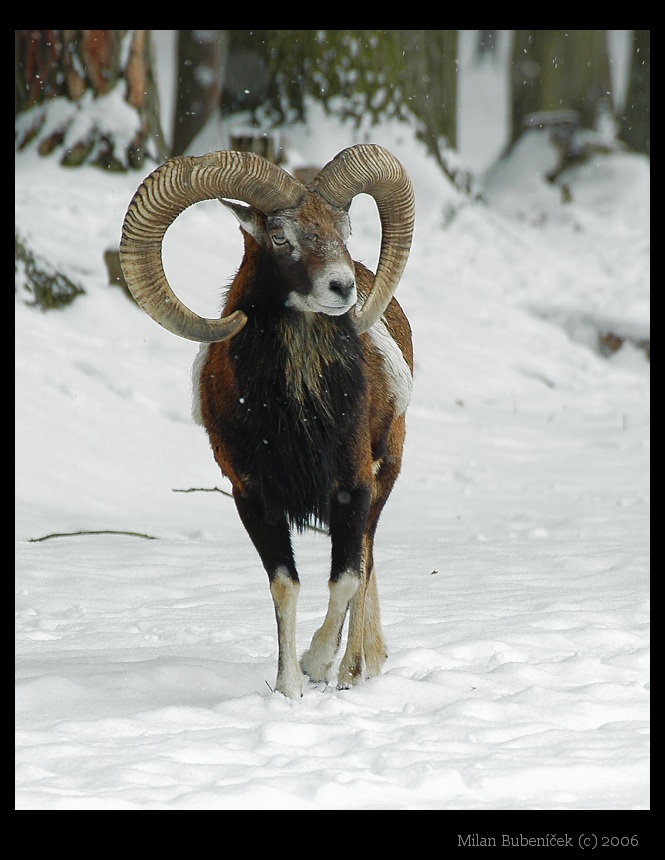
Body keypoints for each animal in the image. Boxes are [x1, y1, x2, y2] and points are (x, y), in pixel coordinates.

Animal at [119, 144, 415, 699]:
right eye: (281, 238)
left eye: (344, 230)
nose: (342, 288)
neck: (295, 413)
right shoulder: (253, 498)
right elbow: (285, 586)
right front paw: (289, 688)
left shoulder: (354, 488)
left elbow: (345, 578)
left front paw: (318, 664)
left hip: (386, 477)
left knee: (365, 562)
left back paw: (354, 671)